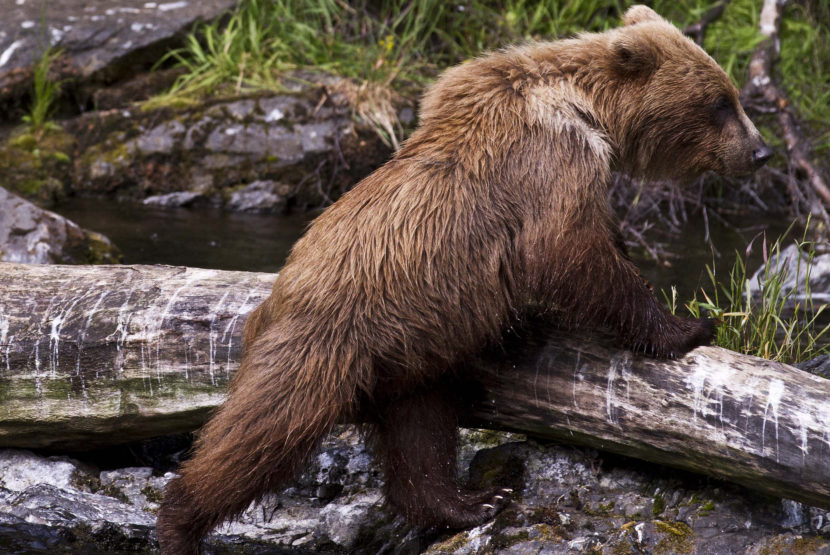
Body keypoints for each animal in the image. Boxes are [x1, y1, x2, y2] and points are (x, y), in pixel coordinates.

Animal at [157, 5, 771, 552]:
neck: (590, 111)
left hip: (414, 353)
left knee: (420, 433)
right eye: (720, 102)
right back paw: (179, 521)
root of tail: (268, 304)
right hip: (324, 344)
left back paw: (473, 502)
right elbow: (568, 252)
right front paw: (687, 326)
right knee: (263, 434)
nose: (762, 151)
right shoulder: (550, 163)